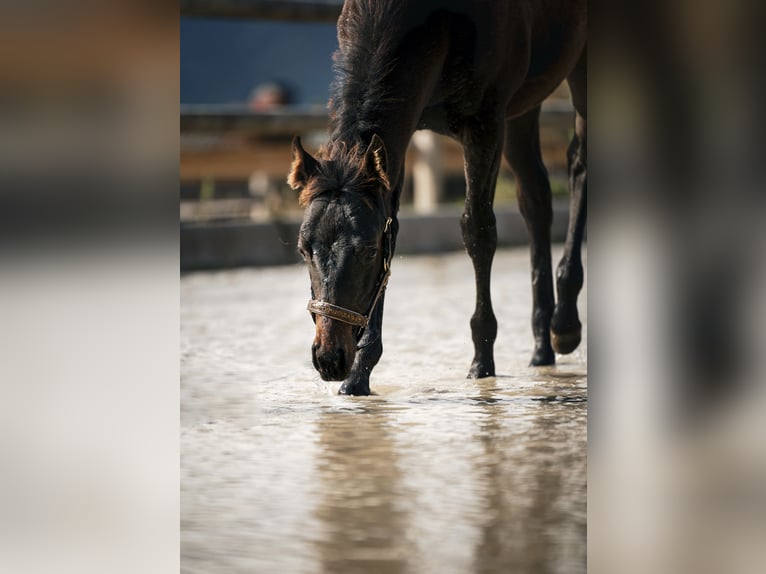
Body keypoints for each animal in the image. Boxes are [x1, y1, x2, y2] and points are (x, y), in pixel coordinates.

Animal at [290, 0, 588, 396]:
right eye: (303, 249)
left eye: (367, 250)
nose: (330, 359)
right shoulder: (398, 139)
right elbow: (393, 229)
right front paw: (359, 376)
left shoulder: (484, 123)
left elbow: (478, 230)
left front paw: (482, 361)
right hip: (524, 106)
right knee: (536, 196)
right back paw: (542, 348)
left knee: (580, 164)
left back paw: (565, 326)